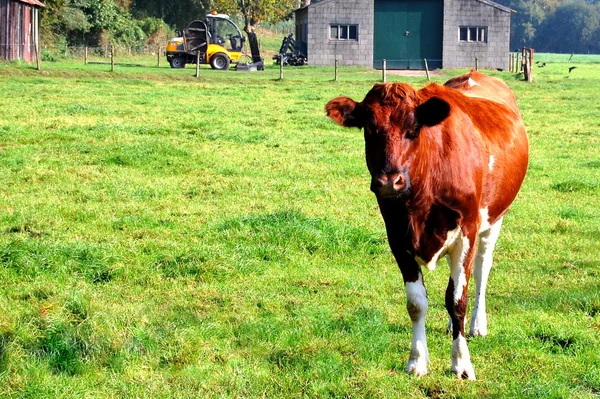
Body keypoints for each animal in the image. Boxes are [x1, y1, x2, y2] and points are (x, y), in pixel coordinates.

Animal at [326, 71, 528, 382]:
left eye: (414, 128)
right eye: (369, 128)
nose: (389, 181)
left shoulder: (467, 231)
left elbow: (457, 300)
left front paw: (461, 363)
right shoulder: (397, 238)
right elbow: (417, 303)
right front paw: (417, 360)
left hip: (494, 218)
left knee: (482, 268)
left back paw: (476, 324)